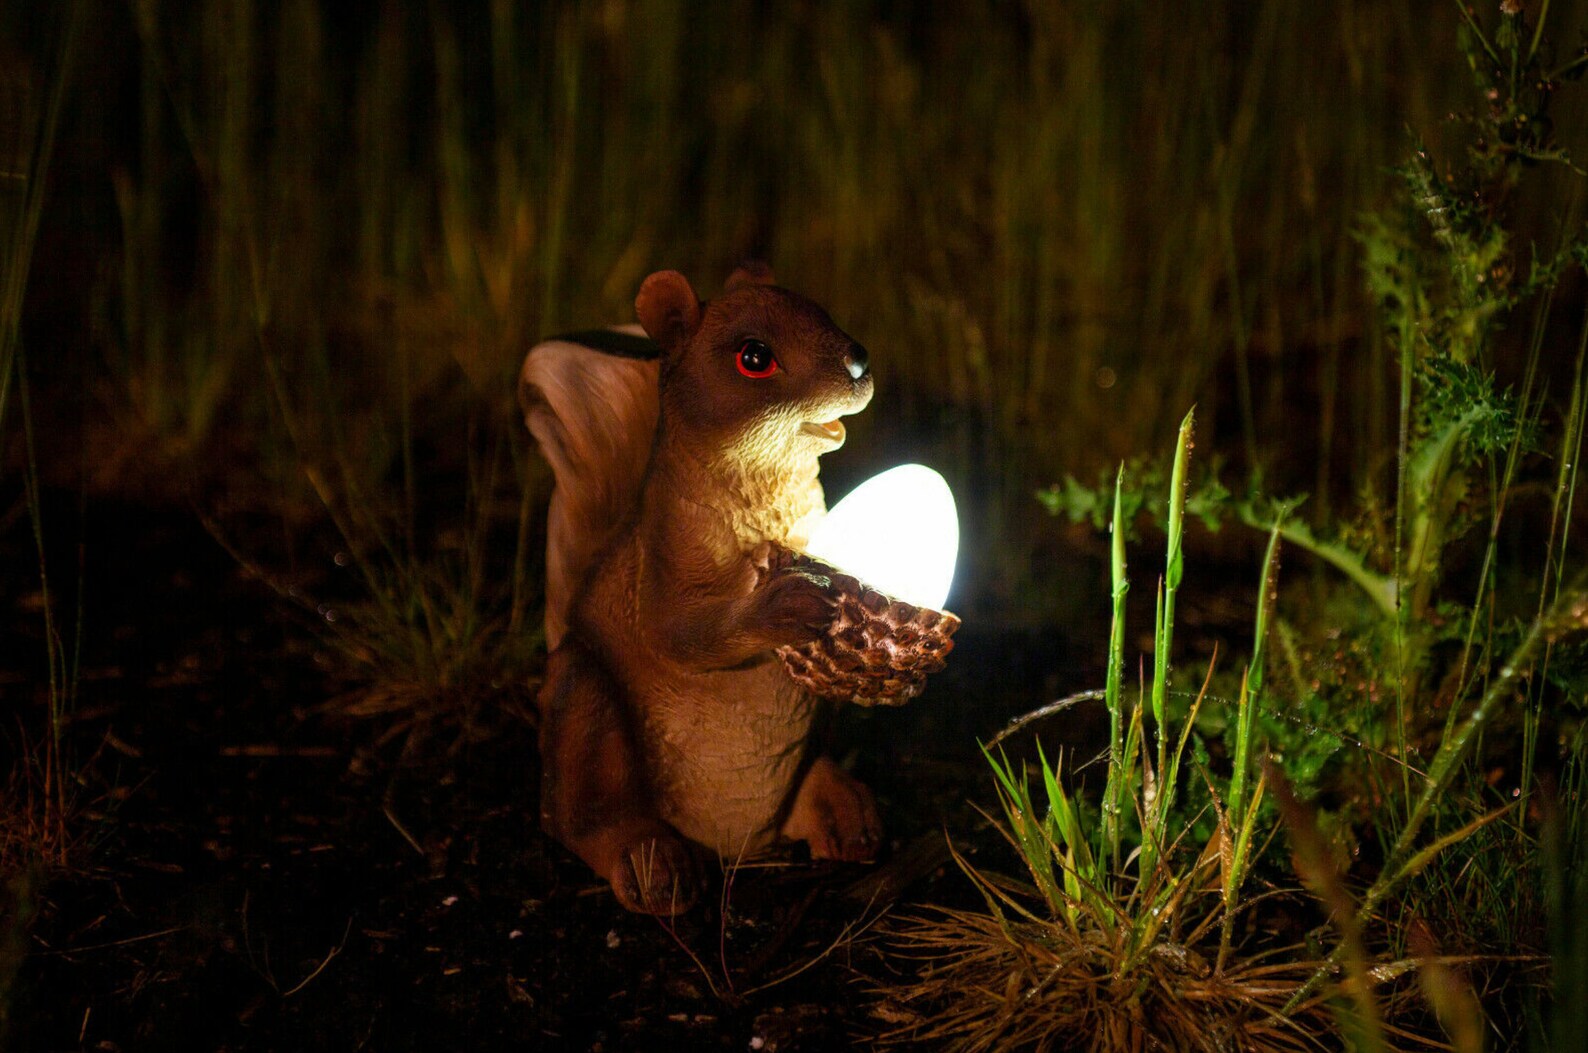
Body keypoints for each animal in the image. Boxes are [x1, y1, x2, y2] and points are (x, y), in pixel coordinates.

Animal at [518, 264, 880, 914]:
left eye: (818, 308)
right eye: (753, 357)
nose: (860, 362)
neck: (772, 481)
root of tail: (738, 842)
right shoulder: (666, 560)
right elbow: (682, 634)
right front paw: (785, 600)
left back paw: (841, 809)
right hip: (585, 701)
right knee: (577, 821)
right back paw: (650, 861)